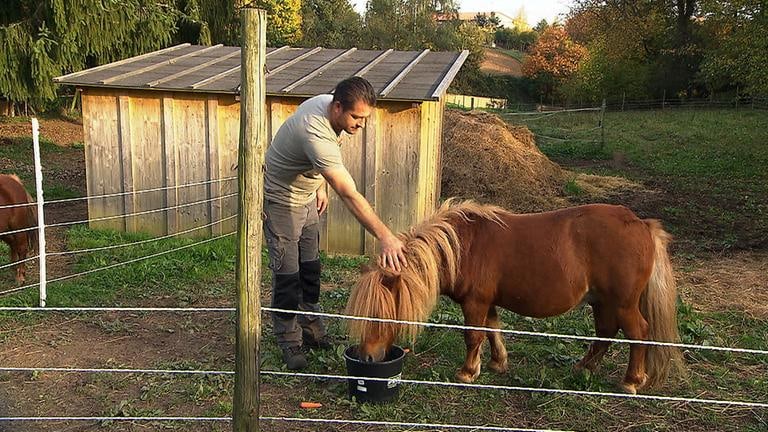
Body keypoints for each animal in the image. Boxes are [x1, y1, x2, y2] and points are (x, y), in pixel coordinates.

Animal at [346, 200, 685, 394]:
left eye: (379, 315)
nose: (366, 358)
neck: (463, 246)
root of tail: (642, 224)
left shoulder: (475, 303)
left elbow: (473, 336)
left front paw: (467, 373)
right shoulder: (488, 303)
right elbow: (493, 331)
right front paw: (496, 364)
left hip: (622, 304)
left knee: (638, 333)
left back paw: (631, 381)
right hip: (601, 302)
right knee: (604, 334)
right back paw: (583, 368)